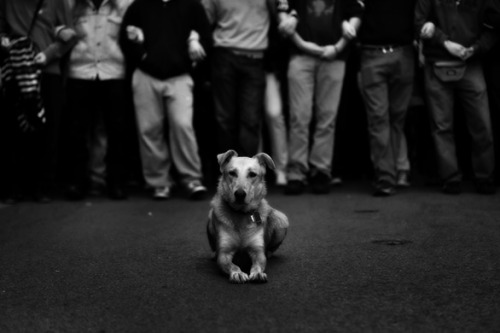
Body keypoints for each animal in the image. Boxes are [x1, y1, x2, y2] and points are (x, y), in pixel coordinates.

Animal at [207, 150, 290, 282]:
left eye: (252, 174)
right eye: (232, 173)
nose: (240, 194)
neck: (241, 213)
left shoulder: (258, 251)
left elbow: (258, 264)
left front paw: (258, 273)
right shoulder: (224, 253)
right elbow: (232, 265)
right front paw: (238, 273)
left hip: (281, 219)